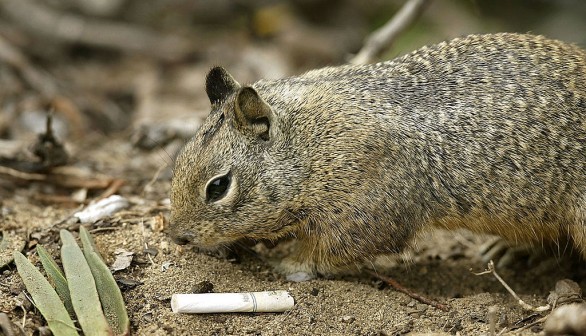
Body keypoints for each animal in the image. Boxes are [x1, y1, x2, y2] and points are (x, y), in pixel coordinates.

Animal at [168, 32, 584, 276]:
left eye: (218, 187)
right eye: (178, 163)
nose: (177, 237)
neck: (308, 144)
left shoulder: (365, 212)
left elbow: (329, 252)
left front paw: (290, 263)